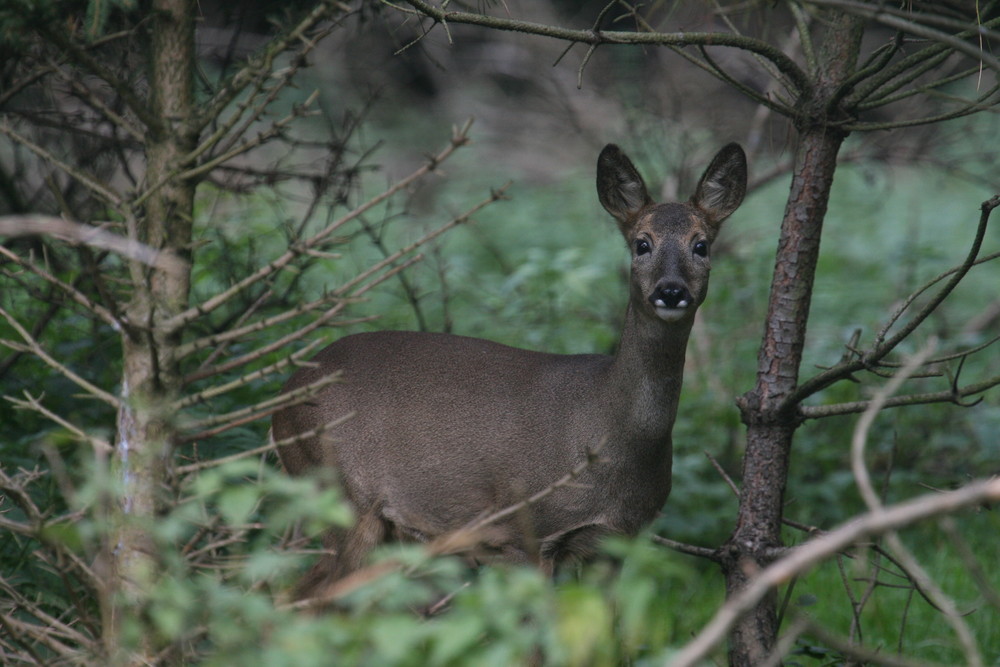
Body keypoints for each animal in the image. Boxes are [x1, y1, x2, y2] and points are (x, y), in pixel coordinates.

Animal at [270, 142, 748, 600]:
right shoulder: (523, 531)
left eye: (701, 245)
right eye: (641, 243)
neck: (605, 431)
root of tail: (280, 400)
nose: (671, 291)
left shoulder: (617, 543)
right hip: (338, 494)